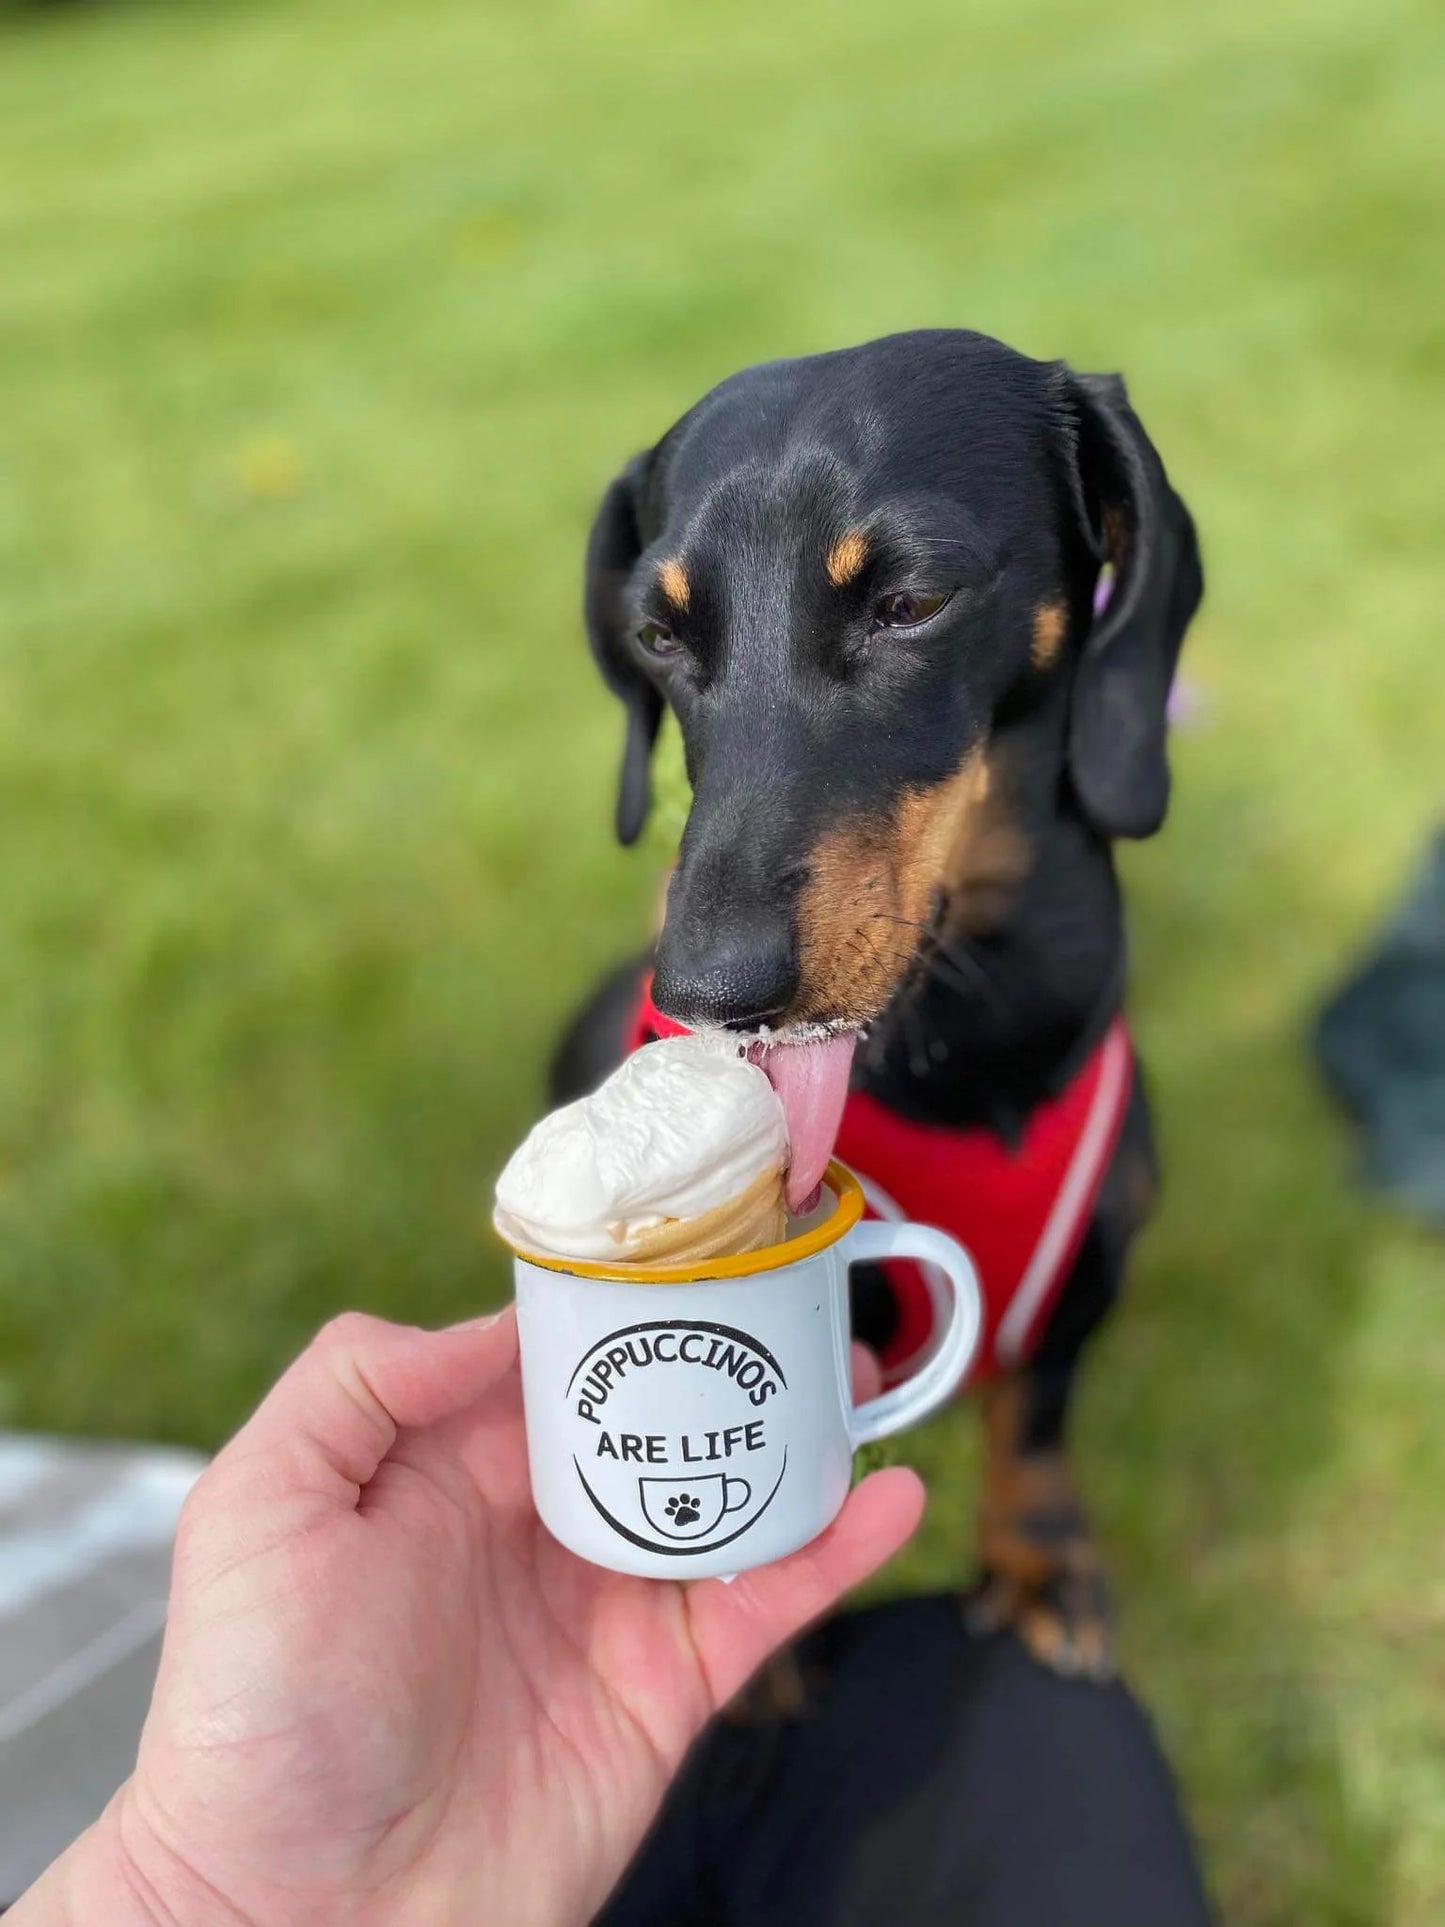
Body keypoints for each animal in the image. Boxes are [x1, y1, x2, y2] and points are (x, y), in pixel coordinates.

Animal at [554, 327, 1202, 1672]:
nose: (707, 990)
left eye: (910, 601)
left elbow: (1036, 1415)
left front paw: (1038, 1553)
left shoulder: (1090, 1272)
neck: (969, 1036)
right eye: (656, 634)